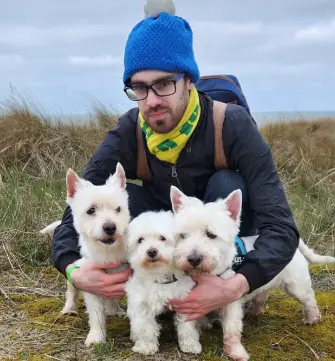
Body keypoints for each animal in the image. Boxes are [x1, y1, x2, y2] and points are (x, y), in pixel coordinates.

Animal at [40, 163, 131, 346]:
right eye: (91, 211)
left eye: (118, 209)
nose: (110, 227)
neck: (110, 252)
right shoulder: (93, 283)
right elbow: (96, 314)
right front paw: (96, 337)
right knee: (71, 292)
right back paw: (69, 309)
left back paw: (114, 310)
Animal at [125, 210, 202, 356]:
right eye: (140, 240)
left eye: (162, 238)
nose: (151, 251)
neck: (159, 274)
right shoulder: (141, 303)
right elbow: (145, 327)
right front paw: (146, 346)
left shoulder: (184, 301)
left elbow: (187, 326)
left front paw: (190, 344)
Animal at [172, 186, 334, 360]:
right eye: (182, 235)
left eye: (211, 234)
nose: (193, 259)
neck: (209, 272)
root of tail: (296, 245)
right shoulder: (186, 298)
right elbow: (185, 325)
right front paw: (190, 345)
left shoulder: (229, 297)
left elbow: (232, 329)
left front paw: (235, 351)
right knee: (261, 295)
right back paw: (255, 311)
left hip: (296, 284)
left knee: (308, 299)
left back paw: (312, 318)